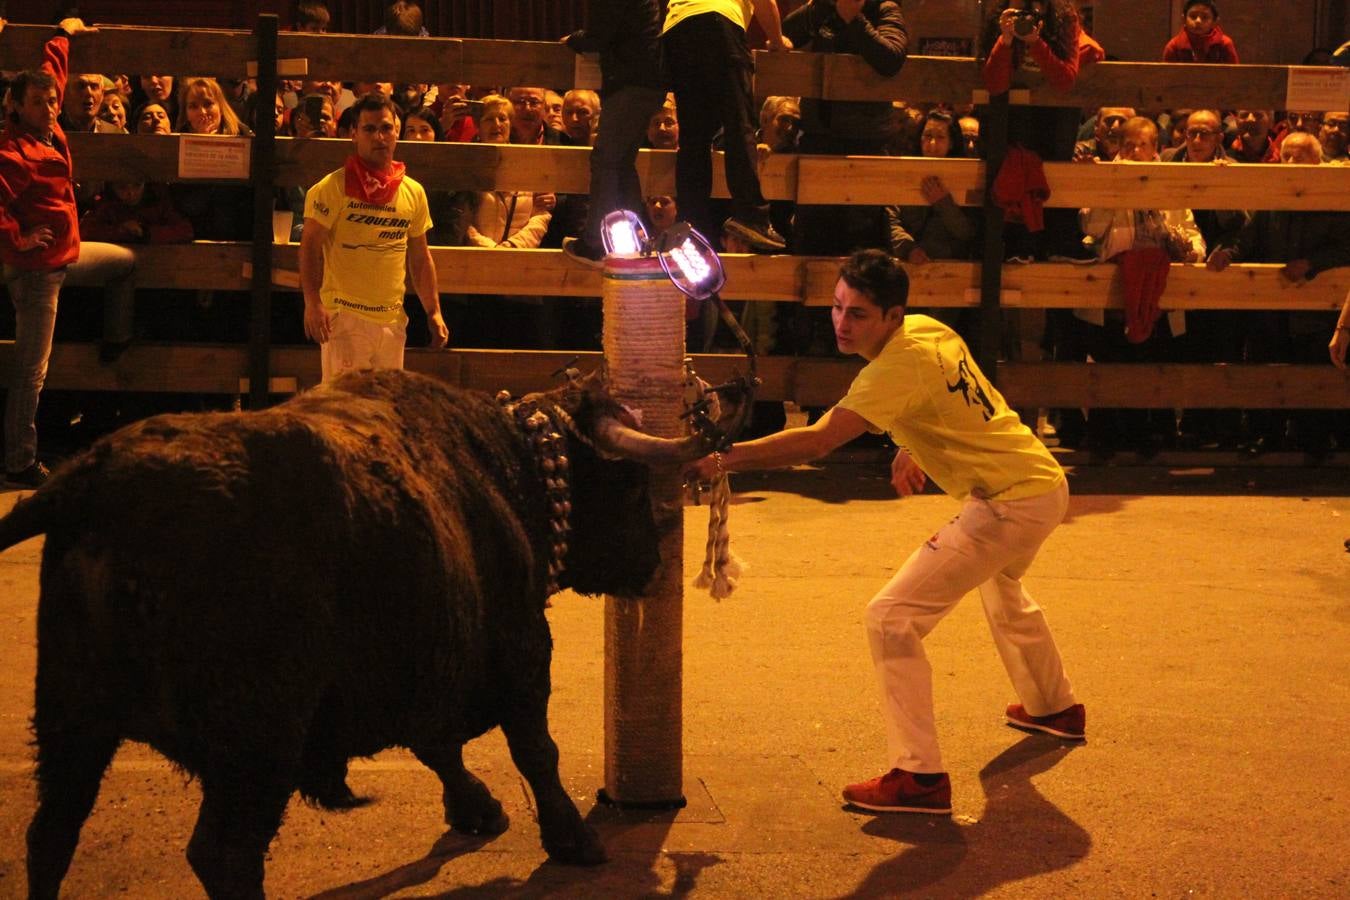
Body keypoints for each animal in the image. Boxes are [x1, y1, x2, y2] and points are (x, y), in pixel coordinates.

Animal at [2, 367, 739, 900]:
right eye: (629, 484)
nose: (651, 560)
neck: (509, 468)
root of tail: (95, 482)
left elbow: (440, 744)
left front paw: (477, 807)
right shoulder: (523, 652)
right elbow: (536, 750)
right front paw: (573, 840)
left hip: (72, 721)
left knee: (50, 836)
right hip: (256, 740)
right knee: (225, 854)